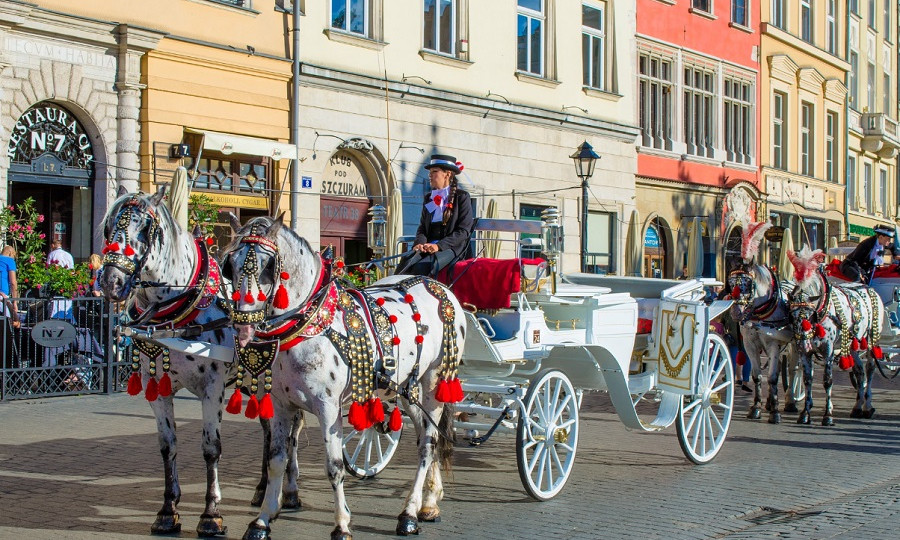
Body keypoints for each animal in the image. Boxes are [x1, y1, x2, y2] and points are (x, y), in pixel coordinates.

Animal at [97, 189, 302, 536]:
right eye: (108, 228)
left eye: (145, 229)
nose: (111, 282)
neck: (175, 312)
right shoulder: (157, 388)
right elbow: (167, 446)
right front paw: (167, 511)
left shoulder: (213, 388)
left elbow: (211, 448)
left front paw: (210, 514)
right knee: (269, 431)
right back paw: (263, 489)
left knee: (291, 432)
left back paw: (289, 492)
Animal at [222, 215, 468, 540]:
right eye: (230, 264)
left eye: (267, 266)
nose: (243, 325)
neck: (306, 324)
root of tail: (441, 287)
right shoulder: (280, 405)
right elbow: (276, 460)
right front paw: (262, 520)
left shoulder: (328, 407)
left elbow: (334, 465)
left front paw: (341, 525)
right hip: (408, 389)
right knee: (429, 436)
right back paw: (429, 502)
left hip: (435, 382)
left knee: (428, 443)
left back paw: (409, 513)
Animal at [724, 218, 800, 422]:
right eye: (730, 282)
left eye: (748, 283)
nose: (736, 312)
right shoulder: (750, 344)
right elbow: (757, 376)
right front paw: (756, 407)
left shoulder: (773, 344)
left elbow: (772, 377)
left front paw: (775, 412)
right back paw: (770, 402)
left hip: (795, 344)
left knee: (795, 370)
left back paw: (790, 401)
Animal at [788, 246, 884, 426]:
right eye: (792, 316)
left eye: (810, 317)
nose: (804, 345)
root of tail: (867, 287)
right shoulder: (806, 353)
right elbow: (807, 379)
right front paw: (805, 413)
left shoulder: (829, 350)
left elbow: (827, 380)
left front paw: (828, 415)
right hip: (853, 345)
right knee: (859, 371)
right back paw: (857, 407)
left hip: (871, 341)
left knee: (870, 370)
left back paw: (868, 406)